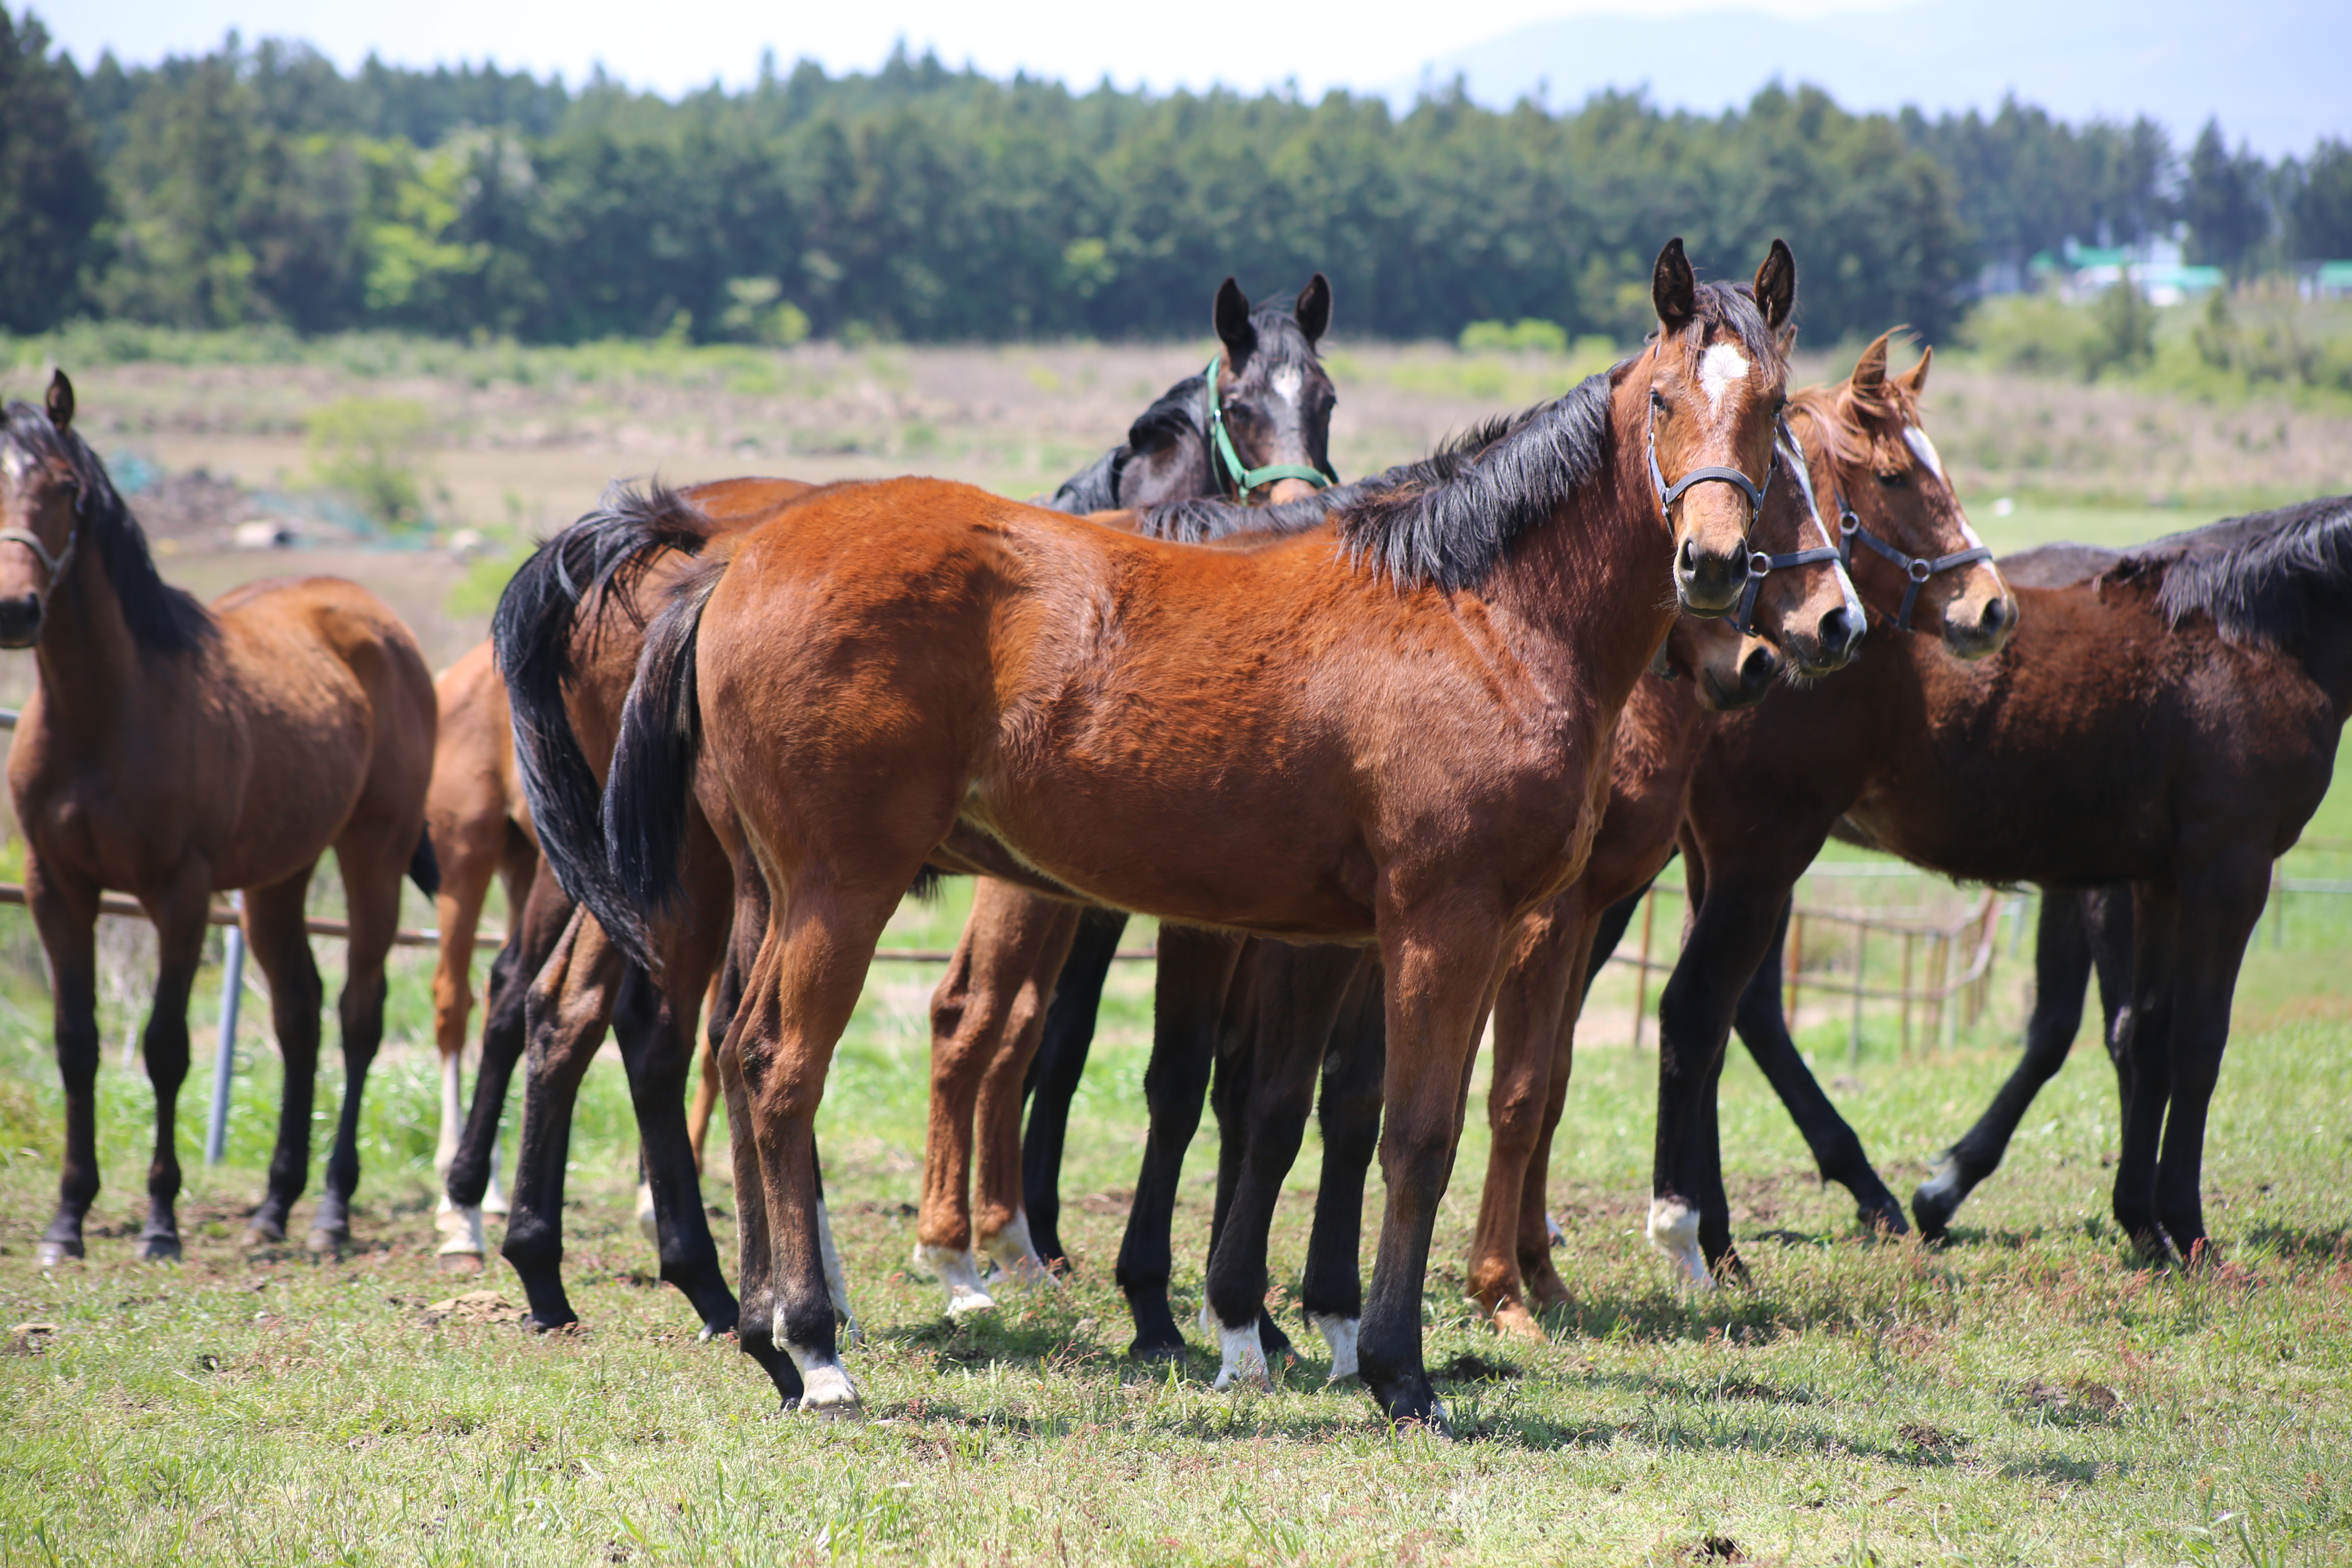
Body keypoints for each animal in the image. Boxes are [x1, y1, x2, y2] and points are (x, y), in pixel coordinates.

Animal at [3, 374, 442, 1269]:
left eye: (65, 489)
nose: (15, 609)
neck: (105, 713)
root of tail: (371, 614)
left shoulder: (179, 894)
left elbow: (165, 1048)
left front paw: (160, 1224)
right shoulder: (54, 886)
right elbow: (75, 1044)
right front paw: (67, 1222)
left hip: (372, 854)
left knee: (358, 1017)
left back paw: (331, 1213)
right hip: (279, 879)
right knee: (299, 1015)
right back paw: (274, 1207)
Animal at [602, 240, 1797, 1429]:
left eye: (1773, 408)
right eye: (1661, 398)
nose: (1713, 568)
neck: (1474, 611)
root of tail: (736, 564)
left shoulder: (1365, 937)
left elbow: (1320, 1112)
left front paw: (1312, 1329)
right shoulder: (1446, 922)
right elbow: (1416, 1137)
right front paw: (1398, 1372)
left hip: (772, 889)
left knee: (739, 1047)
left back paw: (767, 1329)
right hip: (843, 888)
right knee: (784, 1068)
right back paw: (815, 1348)